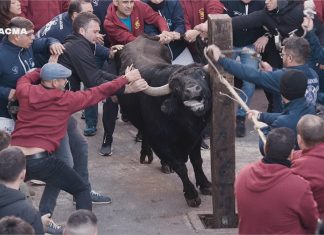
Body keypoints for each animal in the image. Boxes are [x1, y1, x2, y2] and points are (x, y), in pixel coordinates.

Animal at [116, 35, 213, 207]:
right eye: (177, 87)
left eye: (202, 75)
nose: (192, 90)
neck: (182, 125)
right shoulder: (159, 143)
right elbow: (180, 167)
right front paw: (191, 195)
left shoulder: (195, 138)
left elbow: (197, 161)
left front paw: (205, 184)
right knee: (143, 132)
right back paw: (147, 155)